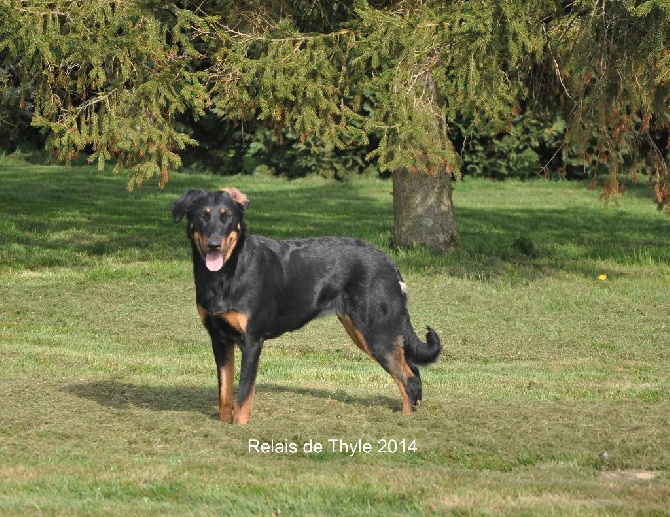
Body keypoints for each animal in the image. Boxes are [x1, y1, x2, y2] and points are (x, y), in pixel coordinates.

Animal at [173, 187, 440, 422]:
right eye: (202, 215)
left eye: (226, 216)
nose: (214, 244)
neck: (225, 275)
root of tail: (390, 262)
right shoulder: (219, 340)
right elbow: (225, 394)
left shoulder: (252, 342)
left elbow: (243, 395)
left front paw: (239, 427)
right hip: (364, 332)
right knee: (413, 372)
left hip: (377, 333)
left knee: (408, 378)